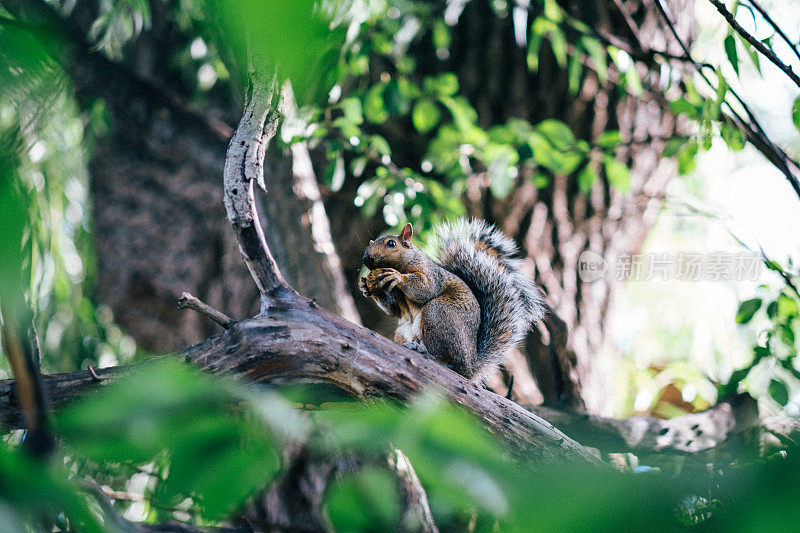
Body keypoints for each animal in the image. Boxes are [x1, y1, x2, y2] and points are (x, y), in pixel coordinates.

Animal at [360, 218, 544, 380]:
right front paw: (366, 287)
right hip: (404, 332)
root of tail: (472, 366)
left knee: (451, 363)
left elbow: (426, 290)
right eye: (368, 246)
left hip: (437, 313)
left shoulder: (432, 275)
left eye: (391, 243)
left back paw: (426, 353)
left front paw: (398, 276)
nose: (366, 257)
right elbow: (394, 310)